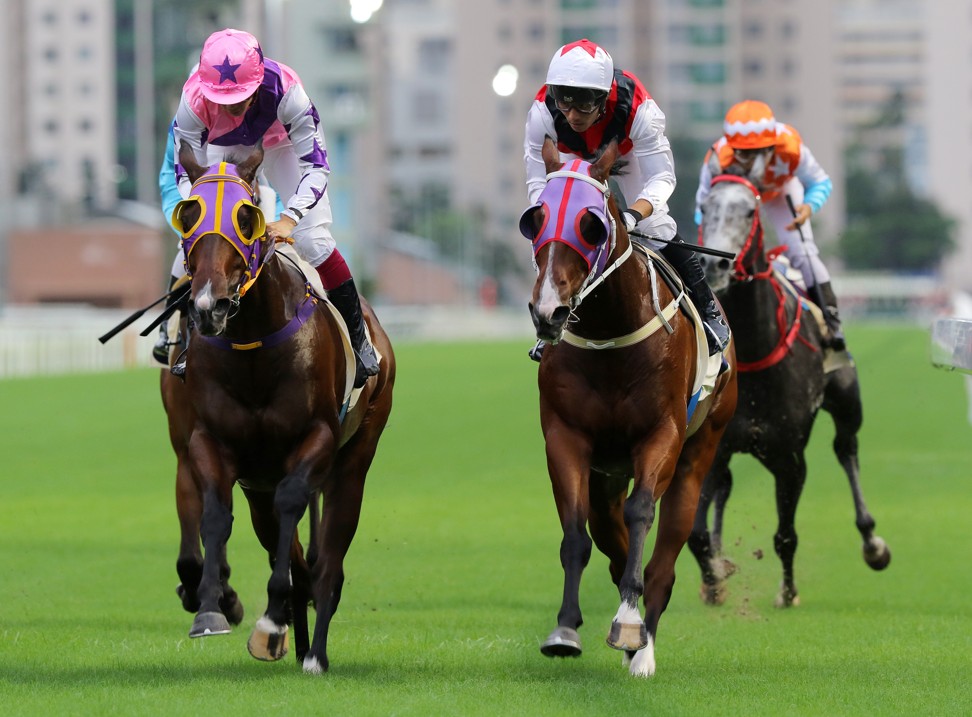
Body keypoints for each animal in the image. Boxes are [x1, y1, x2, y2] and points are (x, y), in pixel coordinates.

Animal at [159, 144, 394, 672]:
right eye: (188, 215)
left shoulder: (317, 438)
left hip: (355, 456)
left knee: (330, 556)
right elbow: (213, 515)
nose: (208, 306)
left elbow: (294, 508)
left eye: (247, 217)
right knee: (288, 546)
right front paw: (213, 609)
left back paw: (314, 651)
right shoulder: (207, 443)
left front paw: (270, 620)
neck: (251, 345)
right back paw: (293, 628)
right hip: (257, 481)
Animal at [524, 138, 736, 676]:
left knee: (666, 554)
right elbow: (576, 533)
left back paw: (644, 646)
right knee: (607, 531)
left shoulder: (661, 434)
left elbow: (642, 513)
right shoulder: (567, 438)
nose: (549, 311)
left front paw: (629, 624)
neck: (609, 334)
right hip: (608, 473)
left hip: (698, 452)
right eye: (534, 220)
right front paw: (565, 629)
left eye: (591, 224)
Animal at [692, 169, 888, 608]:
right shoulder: (715, 448)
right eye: (706, 208)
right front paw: (713, 580)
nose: (713, 263)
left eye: (750, 211)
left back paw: (872, 543)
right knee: (724, 489)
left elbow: (785, 535)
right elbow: (696, 534)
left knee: (846, 449)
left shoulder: (789, 457)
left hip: (847, 402)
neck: (754, 354)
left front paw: (787, 592)